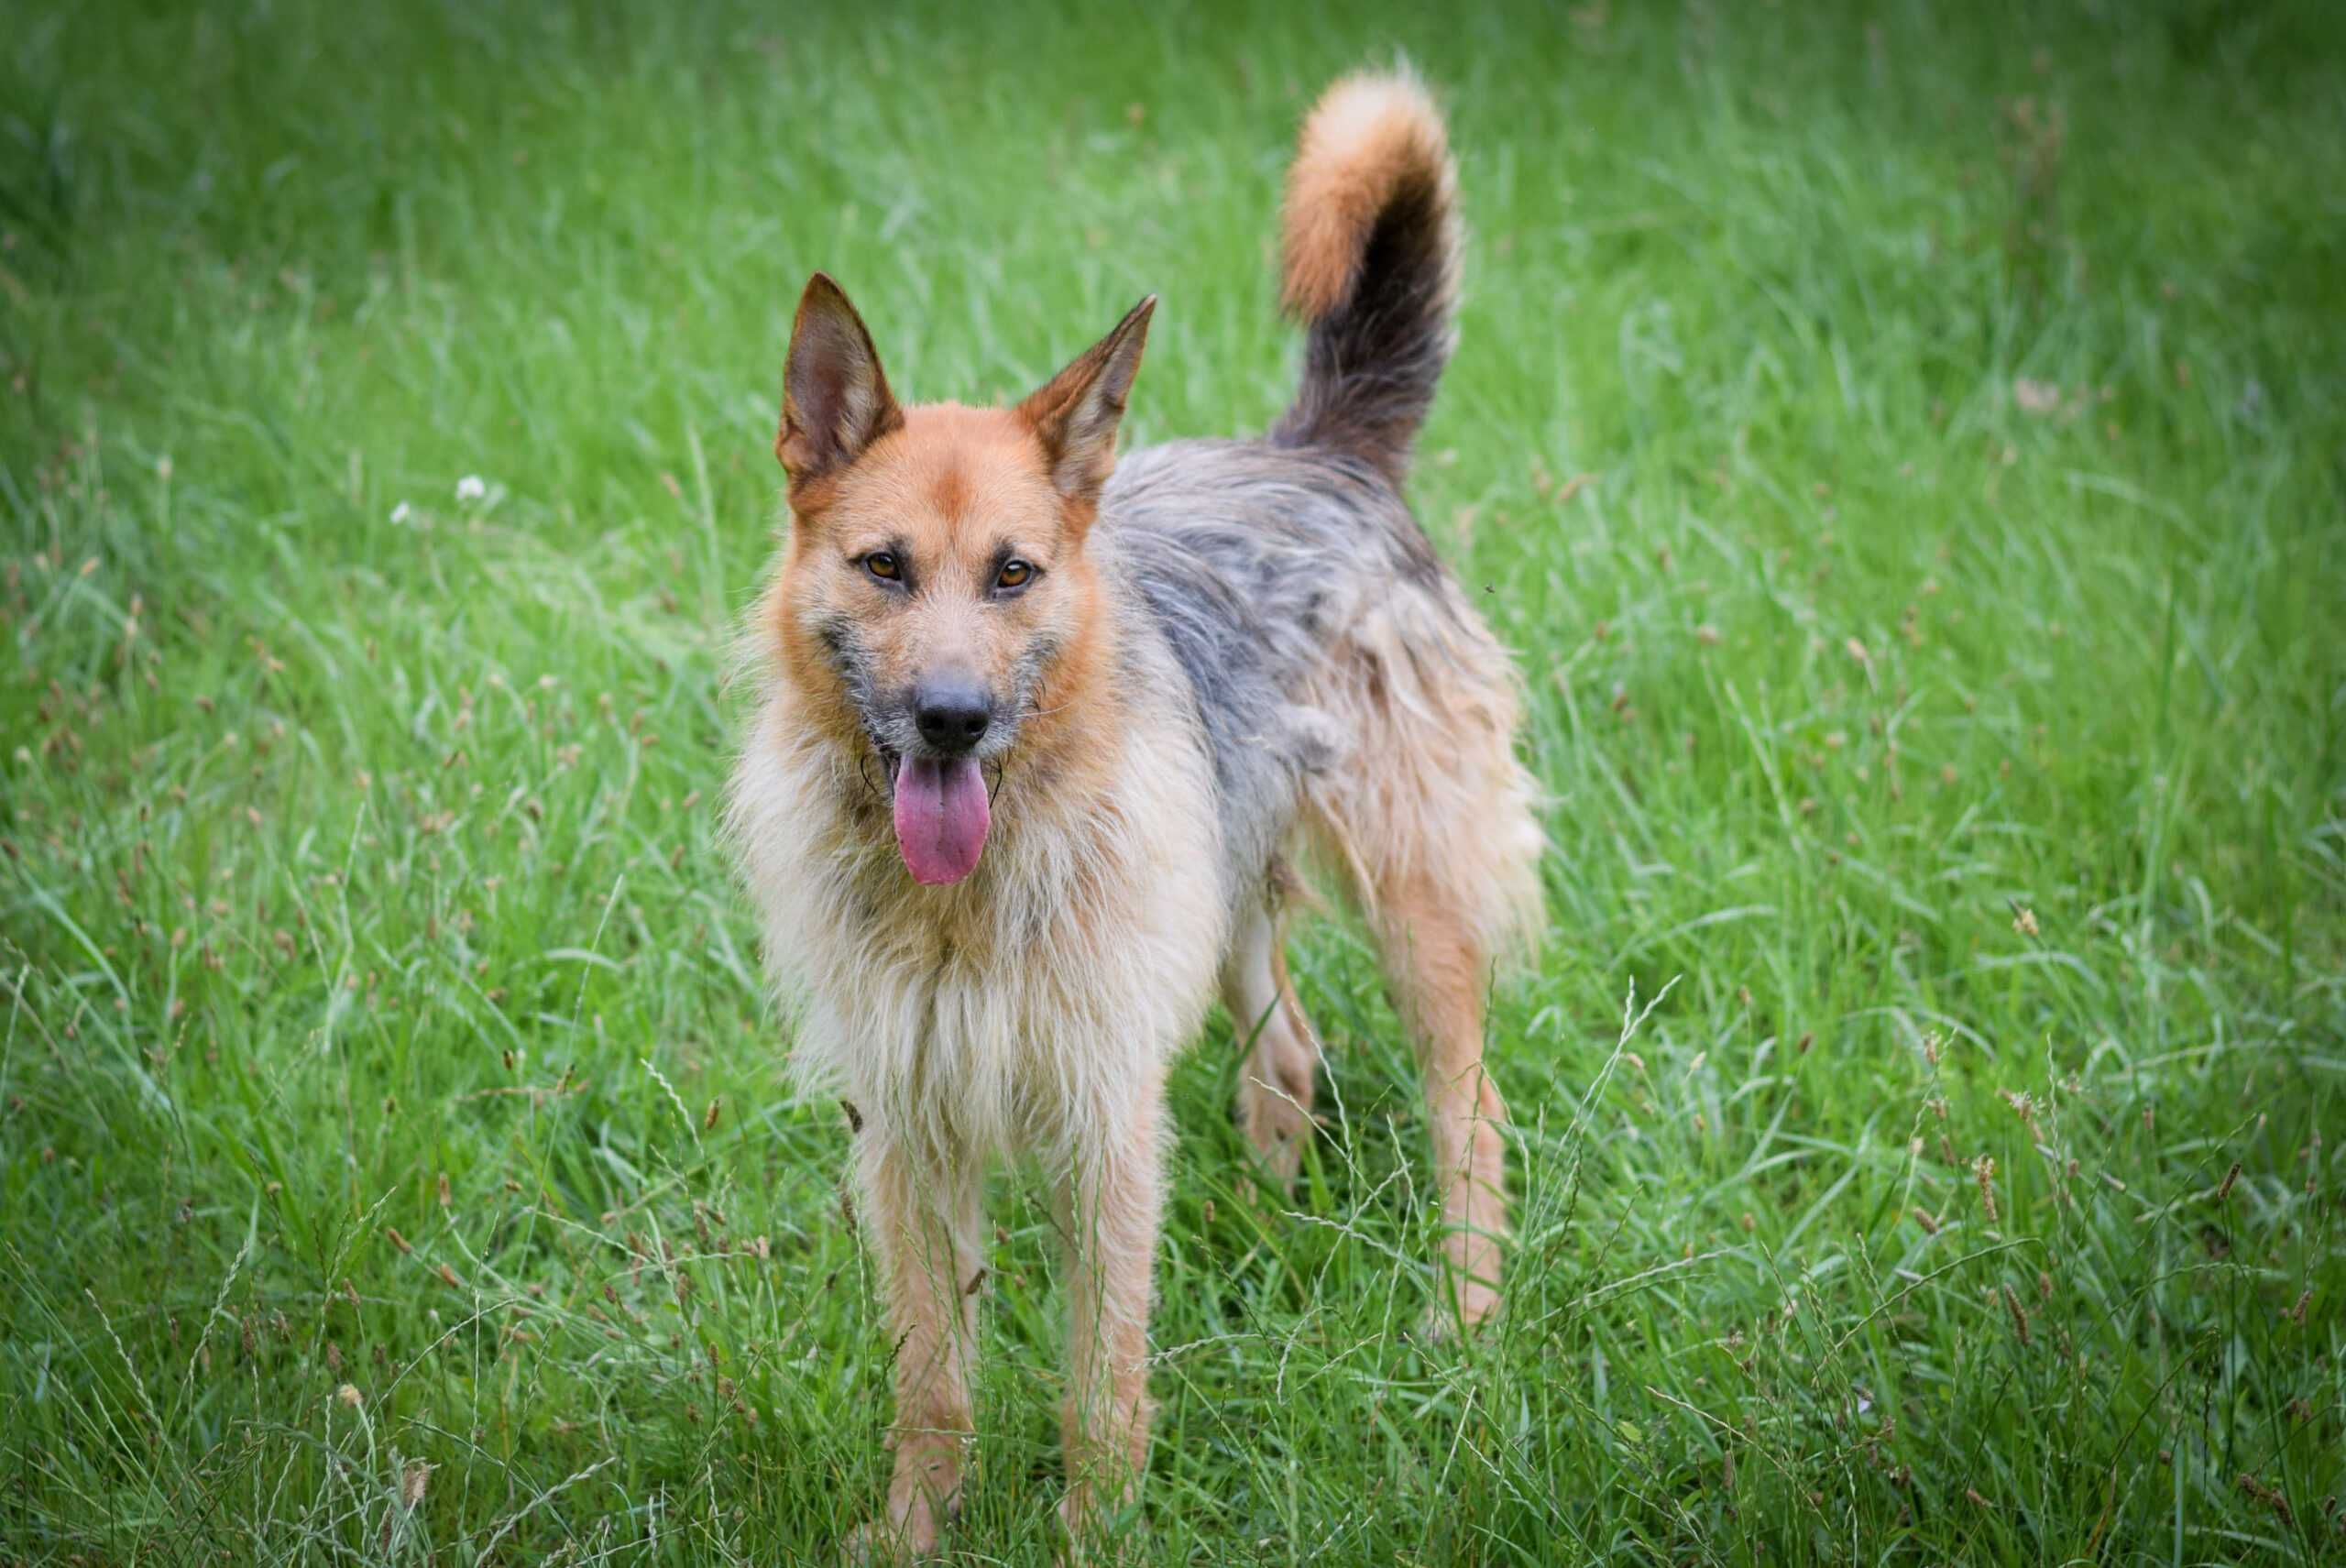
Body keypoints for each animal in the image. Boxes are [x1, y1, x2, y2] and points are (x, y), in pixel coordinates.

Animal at [722, 70, 1548, 1558]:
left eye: (1012, 573)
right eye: (884, 567)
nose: (950, 718)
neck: (965, 899)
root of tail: (1320, 451)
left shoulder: (1101, 1113)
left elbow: (1099, 1376)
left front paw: (1094, 1529)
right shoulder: (911, 1129)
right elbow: (933, 1378)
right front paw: (917, 1527)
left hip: (1416, 908)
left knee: (1472, 1110)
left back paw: (1463, 1320)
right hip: (1219, 903)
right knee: (1287, 1061)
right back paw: (1272, 1239)